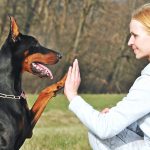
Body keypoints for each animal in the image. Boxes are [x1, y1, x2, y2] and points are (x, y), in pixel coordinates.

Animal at [0, 15, 66, 149]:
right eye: (35, 44)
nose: (60, 55)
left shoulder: (27, 129)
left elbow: (44, 93)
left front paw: (64, 80)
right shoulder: (7, 143)